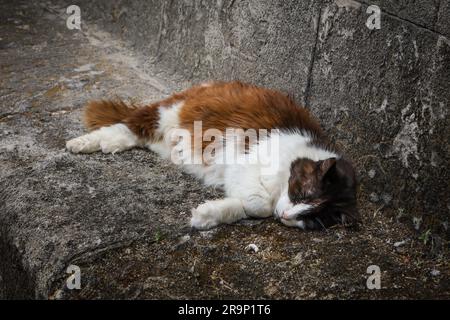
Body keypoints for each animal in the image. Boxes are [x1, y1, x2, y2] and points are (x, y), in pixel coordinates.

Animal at [67, 80, 360, 230]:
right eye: (302, 195)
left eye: (311, 219)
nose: (287, 216)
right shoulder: (246, 160)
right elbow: (262, 206)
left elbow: (245, 207)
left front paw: (207, 215)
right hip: (167, 113)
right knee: (127, 124)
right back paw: (82, 143)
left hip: (164, 137)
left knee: (135, 135)